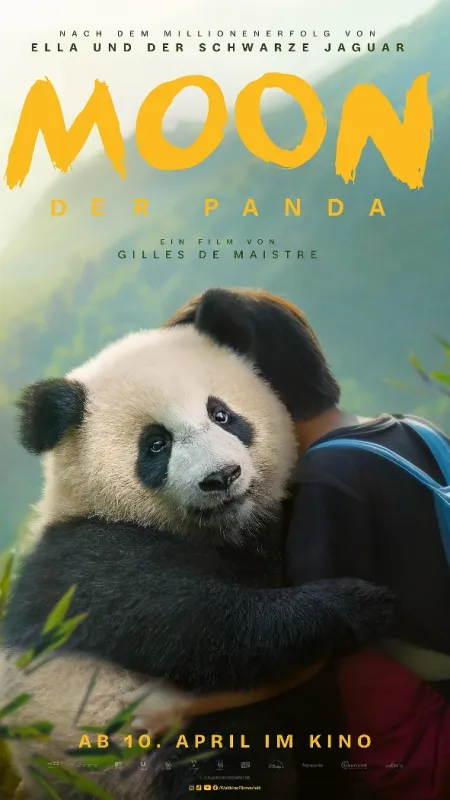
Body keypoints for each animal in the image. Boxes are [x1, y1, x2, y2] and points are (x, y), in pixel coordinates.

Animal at [0, 300, 393, 800]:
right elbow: (202, 626)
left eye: (221, 414)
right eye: (156, 444)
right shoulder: (87, 561)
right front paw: (356, 604)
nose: (221, 476)